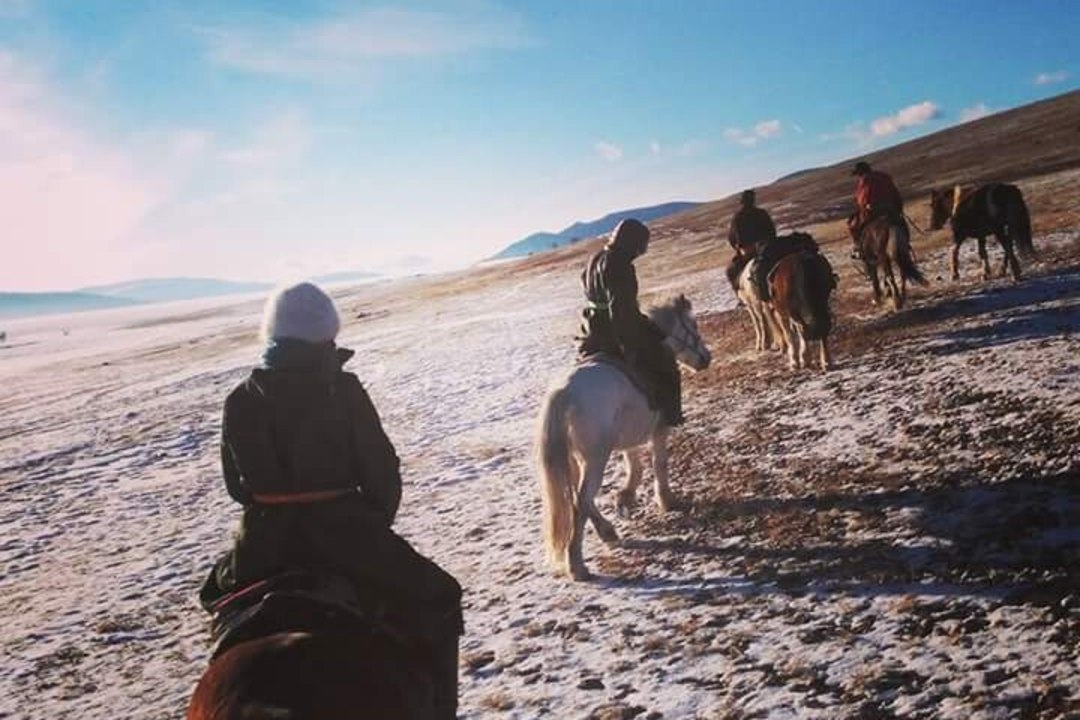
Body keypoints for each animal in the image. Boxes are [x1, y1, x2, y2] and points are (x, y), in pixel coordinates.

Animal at [535, 295, 712, 582]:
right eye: (693, 326)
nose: (706, 358)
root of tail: (565, 391)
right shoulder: (659, 429)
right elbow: (659, 464)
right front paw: (667, 501)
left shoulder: (628, 439)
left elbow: (635, 467)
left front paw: (625, 498)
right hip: (595, 458)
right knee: (581, 501)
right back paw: (578, 566)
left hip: (578, 458)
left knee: (577, 499)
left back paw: (607, 533)